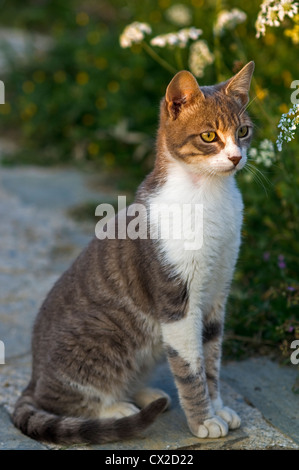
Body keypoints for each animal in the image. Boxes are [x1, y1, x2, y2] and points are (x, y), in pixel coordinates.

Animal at [12, 60, 255, 442]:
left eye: (243, 131)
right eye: (209, 136)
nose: (235, 157)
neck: (210, 198)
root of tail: (34, 375)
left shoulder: (217, 293)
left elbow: (211, 359)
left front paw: (217, 407)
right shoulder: (177, 302)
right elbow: (190, 367)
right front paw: (203, 420)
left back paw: (146, 394)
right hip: (104, 341)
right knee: (62, 400)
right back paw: (116, 408)